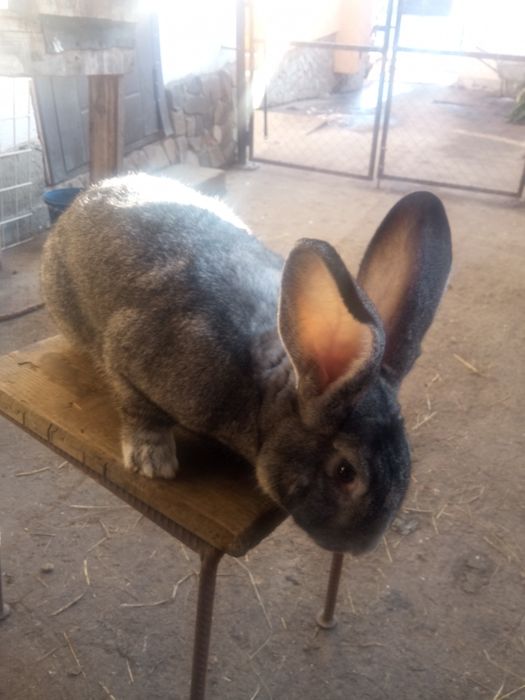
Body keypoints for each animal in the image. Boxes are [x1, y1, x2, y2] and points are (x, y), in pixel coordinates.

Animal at [41, 173, 452, 554]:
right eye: (345, 472)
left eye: (407, 462)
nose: (361, 546)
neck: (265, 391)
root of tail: (87, 195)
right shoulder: (128, 359)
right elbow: (137, 406)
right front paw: (153, 461)